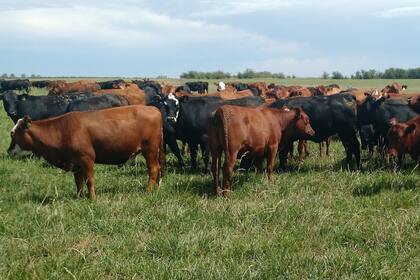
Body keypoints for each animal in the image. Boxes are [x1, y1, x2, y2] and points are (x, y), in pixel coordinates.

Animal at [7, 105, 166, 199]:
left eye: (13, 133)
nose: (9, 151)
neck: (62, 130)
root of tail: (153, 108)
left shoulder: (87, 158)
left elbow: (89, 180)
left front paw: (92, 198)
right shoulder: (76, 163)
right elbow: (78, 181)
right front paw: (78, 196)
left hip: (150, 149)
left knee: (153, 169)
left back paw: (148, 191)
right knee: (158, 169)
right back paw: (156, 188)